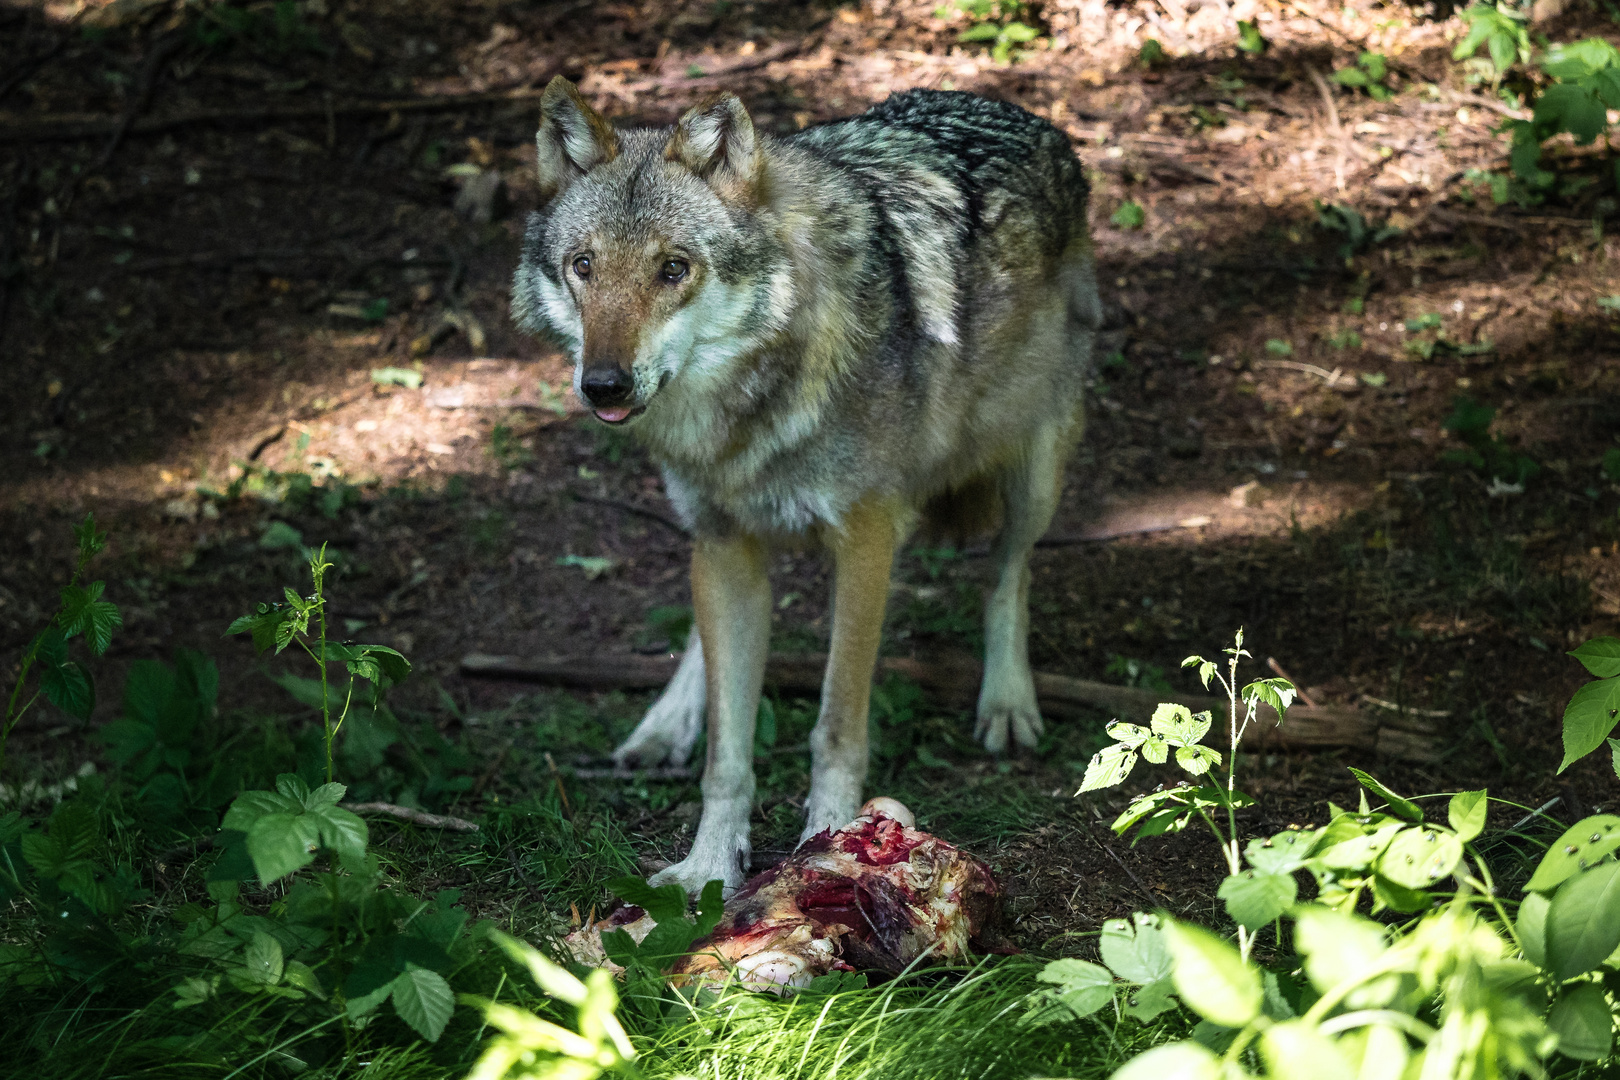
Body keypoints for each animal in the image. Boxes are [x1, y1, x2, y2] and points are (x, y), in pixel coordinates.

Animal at [511, 76, 1108, 893]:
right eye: (583, 266)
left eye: (673, 269)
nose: (603, 384)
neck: (753, 402)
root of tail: (1014, 109)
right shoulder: (723, 543)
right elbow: (727, 751)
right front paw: (708, 865)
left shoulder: (866, 542)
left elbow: (836, 726)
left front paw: (831, 843)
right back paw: (666, 722)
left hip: (1035, 469)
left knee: (1008, 575)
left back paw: (1008, 700)